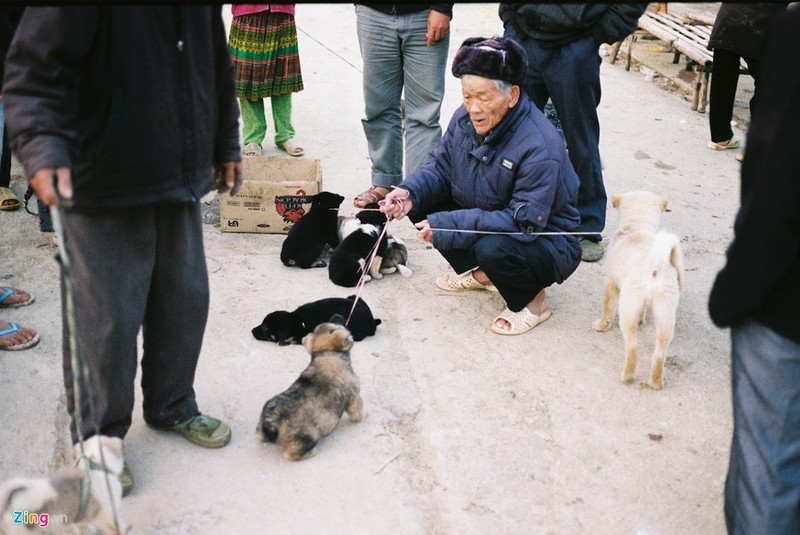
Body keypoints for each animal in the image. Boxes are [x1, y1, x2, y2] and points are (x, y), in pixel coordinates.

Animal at [256, 316, 366, 462]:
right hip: (310, 436)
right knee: (290, 455)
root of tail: (270, 424)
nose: (337, 315)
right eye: (336, 325)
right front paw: (363, 417)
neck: (326, 354)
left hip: (260, 429)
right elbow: (358, 411)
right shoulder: (354, 397)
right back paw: (311, 453)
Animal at [592, 192, 684, 390]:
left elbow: (607, 310)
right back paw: (655, 382)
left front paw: (601, 326)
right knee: (659, 353)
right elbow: (642, 312)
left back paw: (627, 376)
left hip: (628, 309)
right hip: (665, 315)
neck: (637, 227)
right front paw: (642, 320)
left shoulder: (610, 283)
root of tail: (655, 266)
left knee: (632, 347)